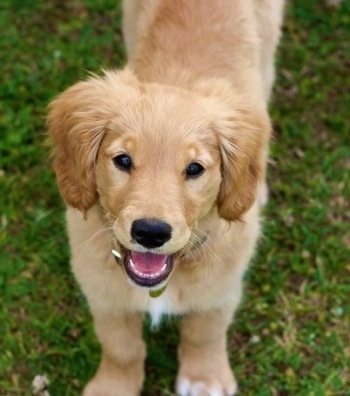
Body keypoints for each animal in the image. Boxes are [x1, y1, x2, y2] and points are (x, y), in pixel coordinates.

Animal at [48, 0, 284, 396]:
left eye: (194, 168)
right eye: (122, 160)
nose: (150, 232)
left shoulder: (222, 285)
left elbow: (206, 331)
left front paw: (205, 378)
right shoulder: (101, 288)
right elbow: (120, 347)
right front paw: (114, 386)